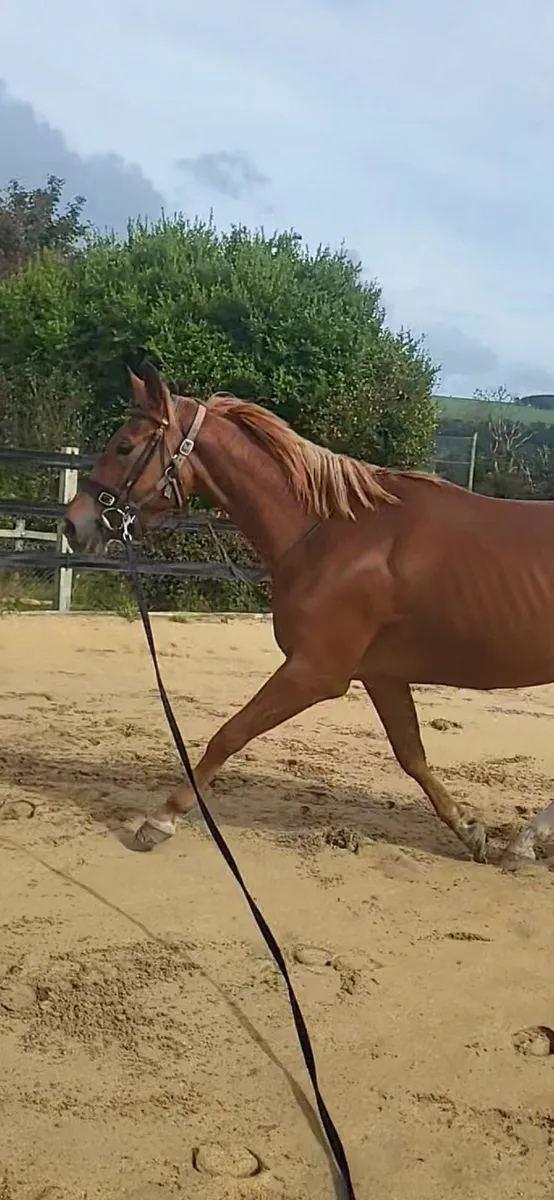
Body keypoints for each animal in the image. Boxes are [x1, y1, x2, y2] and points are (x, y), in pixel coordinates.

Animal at [62, 362, 554, 865]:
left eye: (124, 446)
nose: (72, 524)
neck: (333, 535)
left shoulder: (313, 672)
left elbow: (229, 734)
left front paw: (161, 819)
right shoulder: (381, 675)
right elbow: (411, 755)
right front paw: (469, 831)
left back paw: (526, 841)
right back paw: (523, 843)